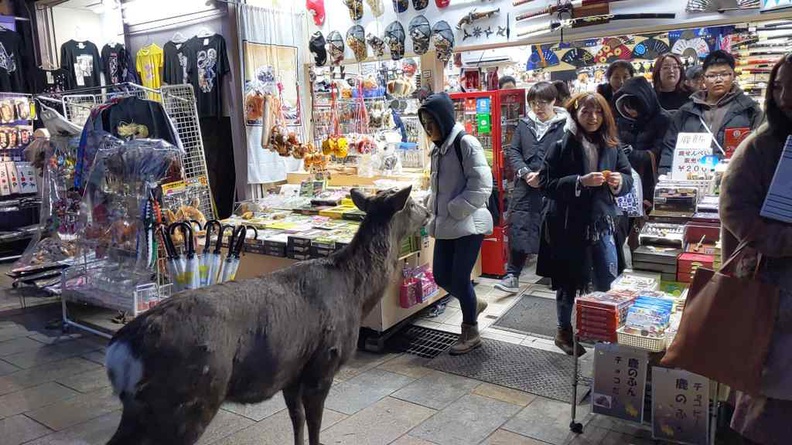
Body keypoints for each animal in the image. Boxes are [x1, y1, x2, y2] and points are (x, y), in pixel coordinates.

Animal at [104, 186, 430, 444]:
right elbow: (314, 426)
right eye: (412, 203)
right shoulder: (323, 362)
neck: (356, 293)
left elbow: (297, 422)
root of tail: (119, 351)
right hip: (185, 400)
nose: (428, 211)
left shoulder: (292, 371)